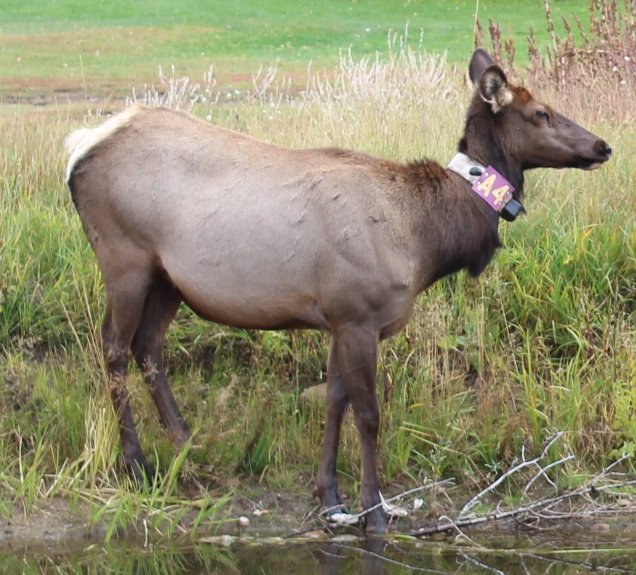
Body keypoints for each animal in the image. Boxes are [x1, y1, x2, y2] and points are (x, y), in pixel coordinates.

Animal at [66, 50, 612, 536]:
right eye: (541, 112)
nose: (602, 145)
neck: (425, 240)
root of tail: (79, 148)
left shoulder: (336, 317)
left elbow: (333, 399)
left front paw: (329, 496)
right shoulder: (358, 313)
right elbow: (368, 415)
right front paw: (375, 511)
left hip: (167, 278)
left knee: (148, 346)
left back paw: (184, 440)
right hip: (124, 256)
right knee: (113, 347)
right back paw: (137, 463)